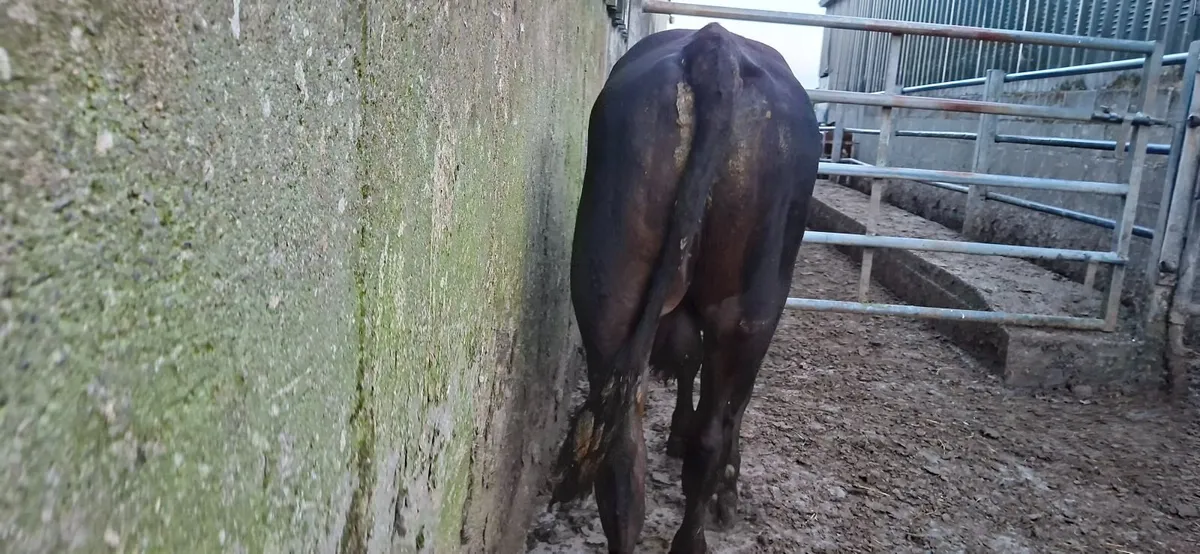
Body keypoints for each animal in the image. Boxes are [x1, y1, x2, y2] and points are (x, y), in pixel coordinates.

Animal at [548, 22, 821, 553]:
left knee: (623, 461)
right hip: (752, 310)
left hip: (609, 293)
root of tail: (713, 46)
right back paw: (696, 529)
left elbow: (687, 361)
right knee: (713, 433)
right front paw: (725, 489)